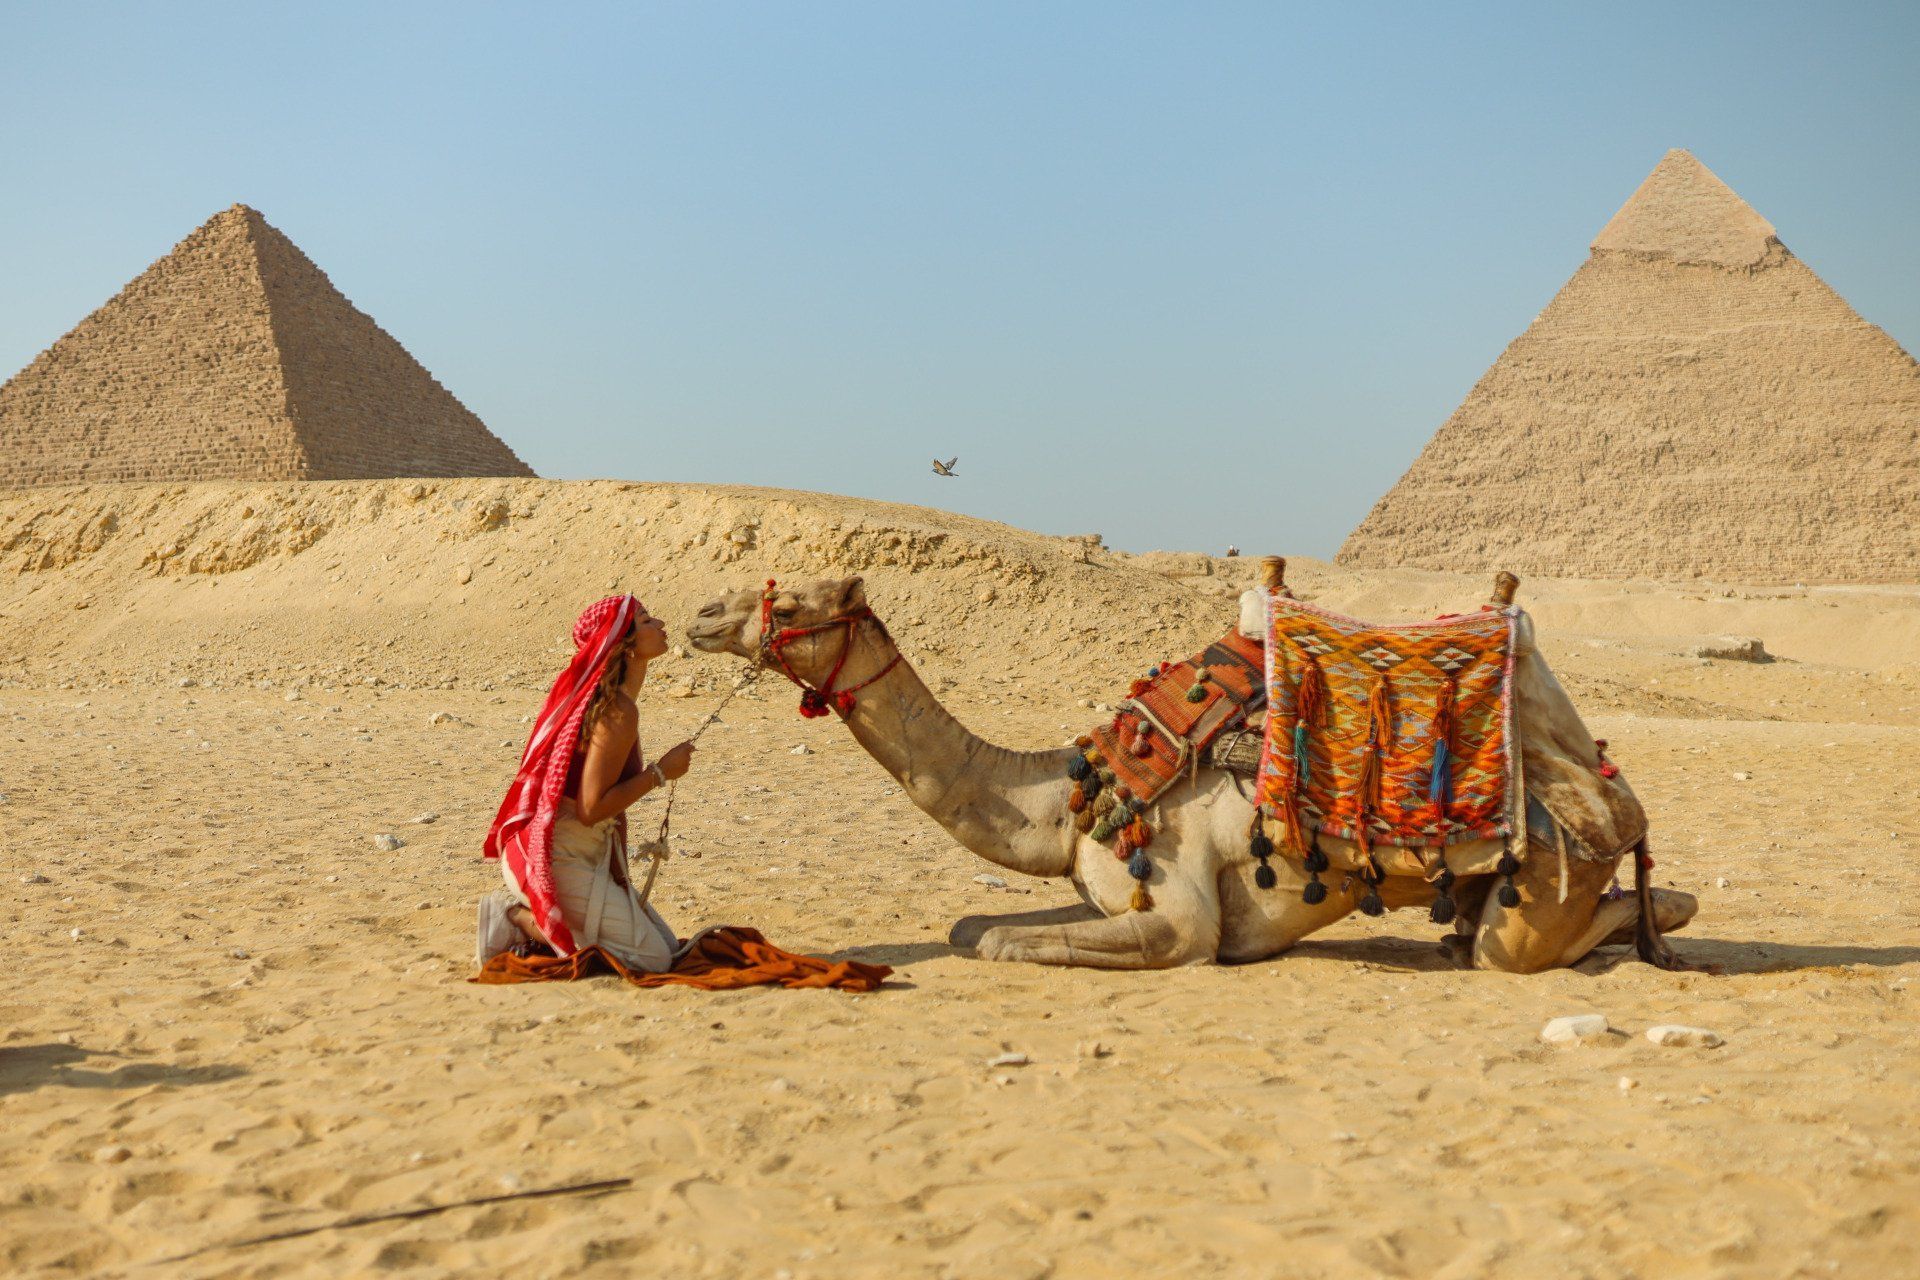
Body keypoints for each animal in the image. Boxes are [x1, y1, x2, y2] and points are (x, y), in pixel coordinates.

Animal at [686, 572, 1699, 971]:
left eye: (799, 601)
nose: (700, 612)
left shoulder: (1179, 917)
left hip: (1551, 870)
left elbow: (1003, 940)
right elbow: (975, 923)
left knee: (1542, 935)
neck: (1065, 798)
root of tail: (1619, 795)